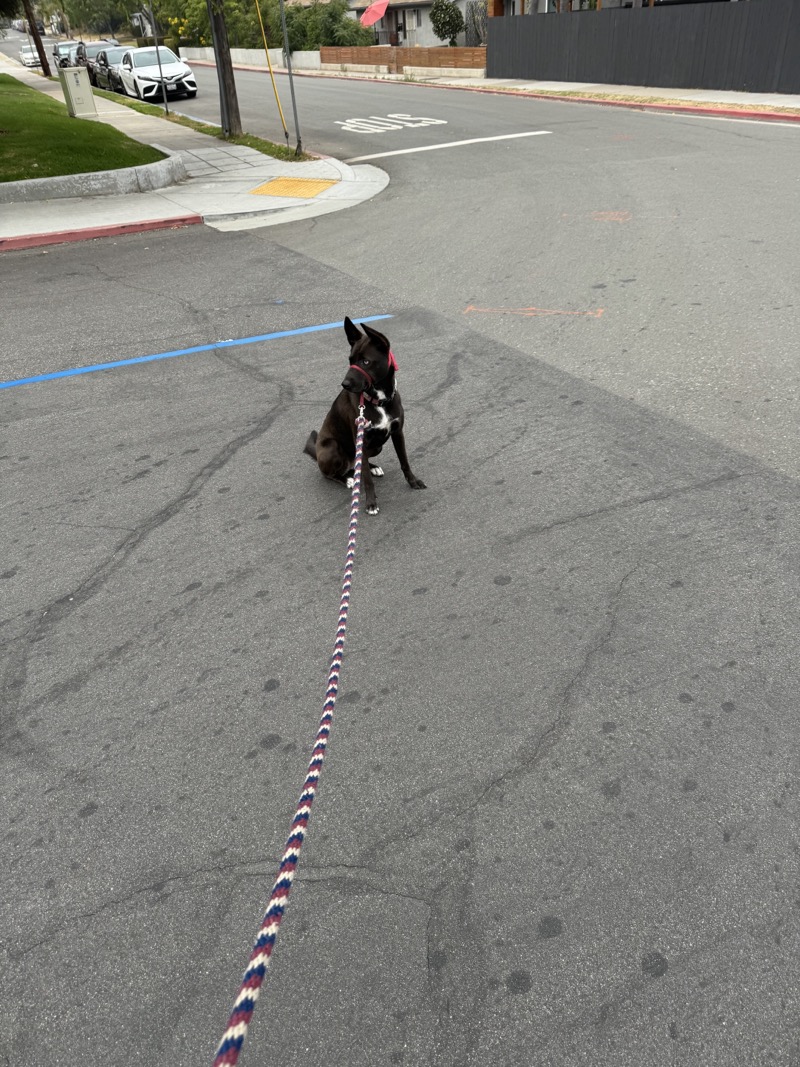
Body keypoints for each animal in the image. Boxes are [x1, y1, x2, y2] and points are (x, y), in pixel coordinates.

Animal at [302, 315, 426, 516]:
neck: (379, 401)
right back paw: (347, 479)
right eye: (350, 360)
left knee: (358, 464)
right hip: (332, 447)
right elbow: (367, 480)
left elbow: (404, 462)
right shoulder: (361, 438)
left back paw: (370, 468)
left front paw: (413, 482)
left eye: (365, 362)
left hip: (375, 447)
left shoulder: (398, 432)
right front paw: (371, 503)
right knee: (331, 473)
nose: (344, 384)